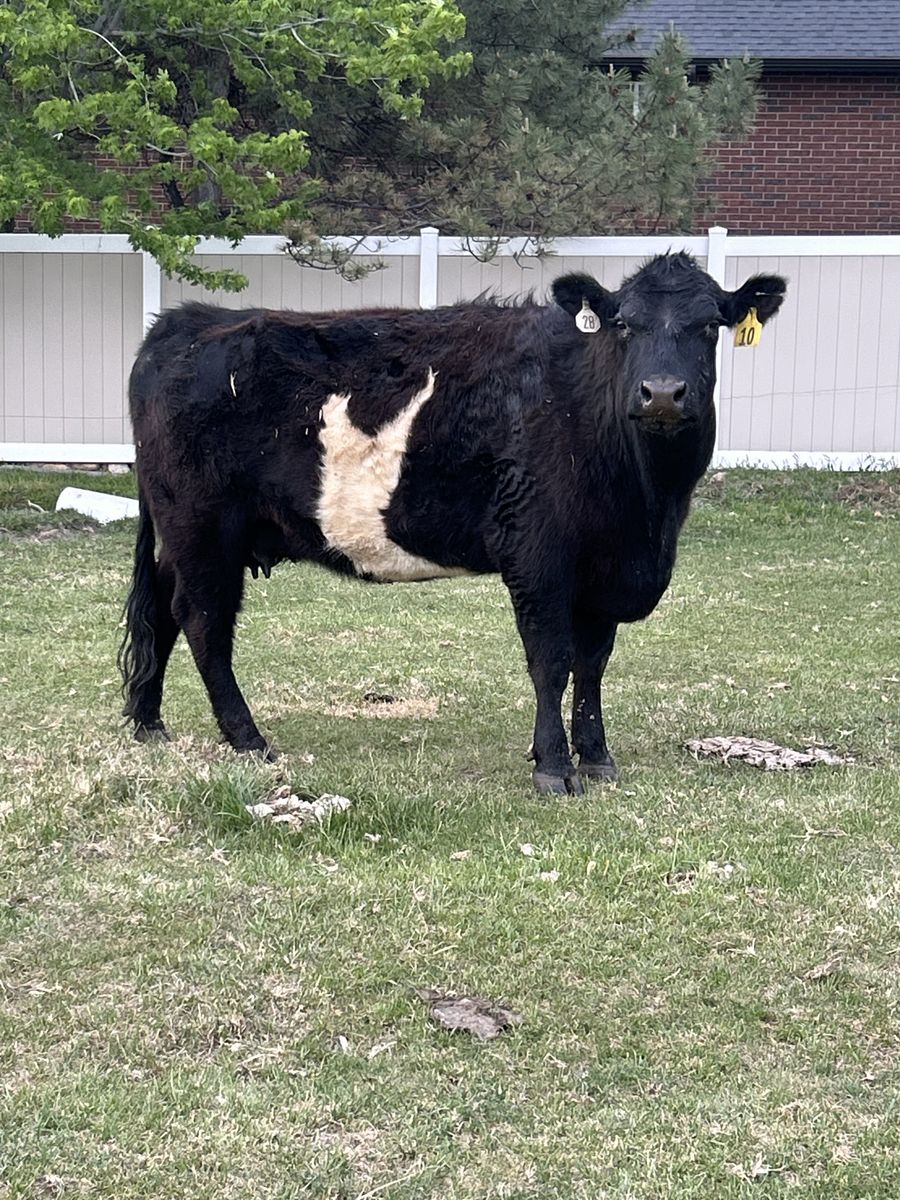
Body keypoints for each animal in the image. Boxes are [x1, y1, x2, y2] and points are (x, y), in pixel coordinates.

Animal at [119, 253, 786, 794]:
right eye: (624, 324)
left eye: (710, 325)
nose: (663, 393)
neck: (648, 509)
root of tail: (184, 323)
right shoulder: (536, 556)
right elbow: (552, 660)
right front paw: (554, 767)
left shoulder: (605, 571)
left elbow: (592, 664)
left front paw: (596, 757)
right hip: (203, 529)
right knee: (203, 622)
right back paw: (247, 738)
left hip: (185, 535)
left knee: (161, 606)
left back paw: (148, 722)